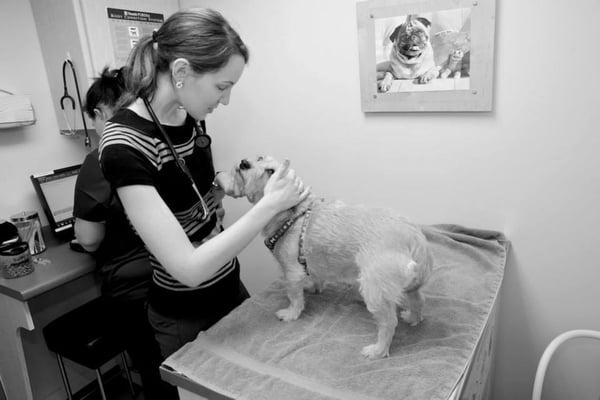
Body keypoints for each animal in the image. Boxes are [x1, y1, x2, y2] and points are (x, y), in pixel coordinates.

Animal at [218, 156, 434, 360]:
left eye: (270, 171)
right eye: (259, 157)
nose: (243, 163)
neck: (294, 214)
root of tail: (416, 238)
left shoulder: (291, 271)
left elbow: (294, 296)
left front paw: (291, 313)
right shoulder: (312, 262)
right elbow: (315, 277)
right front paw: (313, 288)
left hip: (375, 289)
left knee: (389, 323)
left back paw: (378, 350)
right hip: (410, 285)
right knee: (418, 300)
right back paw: (413, 318)